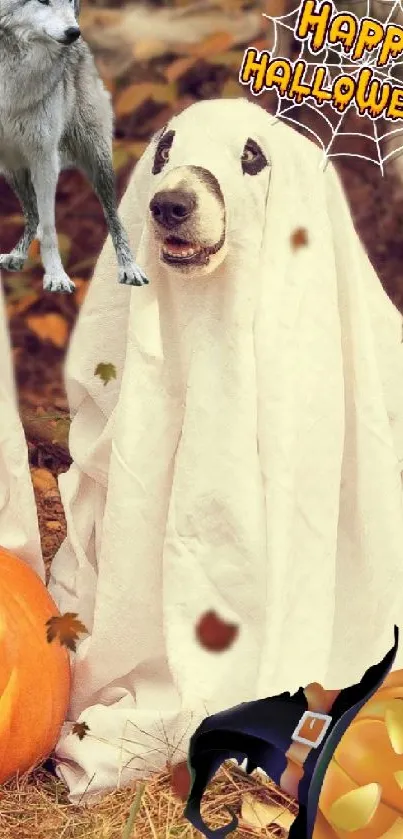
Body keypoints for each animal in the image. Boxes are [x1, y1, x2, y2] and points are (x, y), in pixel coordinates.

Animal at [0, 0, 148, 296]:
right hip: (12, 168)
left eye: (70, 2)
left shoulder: (45, 157)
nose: (74, 32)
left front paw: (56, 277)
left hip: (96, 160)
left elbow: (49, 229)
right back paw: (17, 256)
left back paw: (129, 269)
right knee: (31, 214)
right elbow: (39, 220)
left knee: (113, 217)